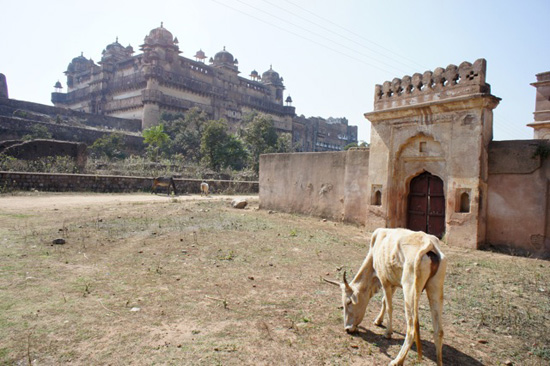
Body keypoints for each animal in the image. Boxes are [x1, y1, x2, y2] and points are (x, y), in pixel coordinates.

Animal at [328, 227, 448, 364]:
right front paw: (378, 321)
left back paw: (397, 361)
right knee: (439, 331)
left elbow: (389, 306)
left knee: (412, 328)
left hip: (410, 290)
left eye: (348, 302)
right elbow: (384, 301)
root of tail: (429, 244)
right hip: (435, 289)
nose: (347, 328)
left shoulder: (384, 280)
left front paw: (388, 333)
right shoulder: (394, 283)